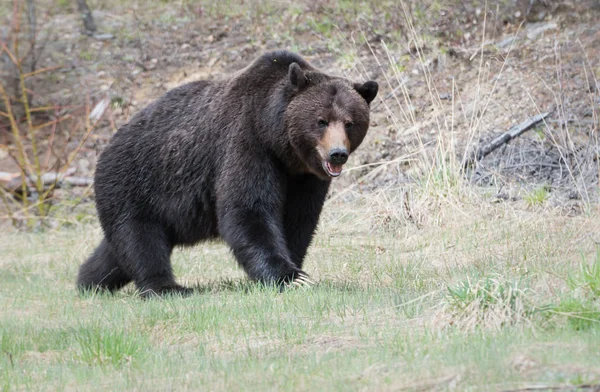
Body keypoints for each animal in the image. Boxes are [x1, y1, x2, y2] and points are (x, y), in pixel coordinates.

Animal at [77, 49, 378, 298]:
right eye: (321, 121)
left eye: (350, 122)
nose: (337, 153)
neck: (280, 144)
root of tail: (106, 146)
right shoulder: (247, 145)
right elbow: (248, 209)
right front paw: (288, 276)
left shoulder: (305, 178)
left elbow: (298, 218)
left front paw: (295, 270)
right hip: (135, 182)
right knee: (139, 239)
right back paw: (165, 287)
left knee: (118, 249)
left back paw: (89, 281)